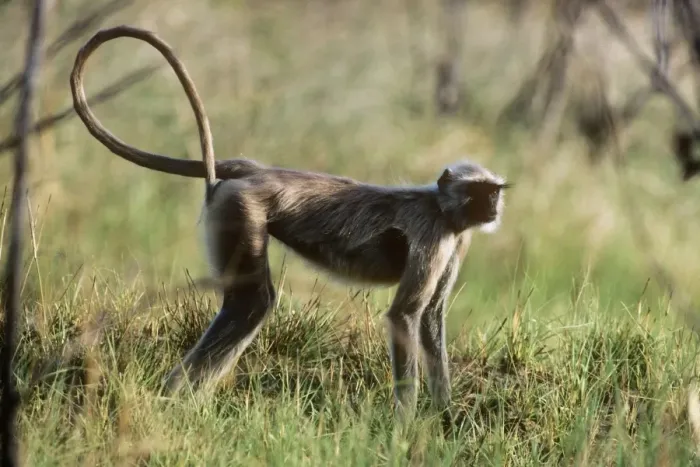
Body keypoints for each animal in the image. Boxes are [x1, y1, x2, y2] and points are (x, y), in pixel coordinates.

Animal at [69, 26, 509, 420]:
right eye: (480, 192)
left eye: (494, 192)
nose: (493, 207)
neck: (442, 207)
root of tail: (256, 170)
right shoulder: (434, 233)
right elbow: (405, 315)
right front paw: (405, 424)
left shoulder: (457, 239)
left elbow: (431, 315)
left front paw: (444, 412)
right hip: (241, 209)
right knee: (253, 302)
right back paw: (175, 399)